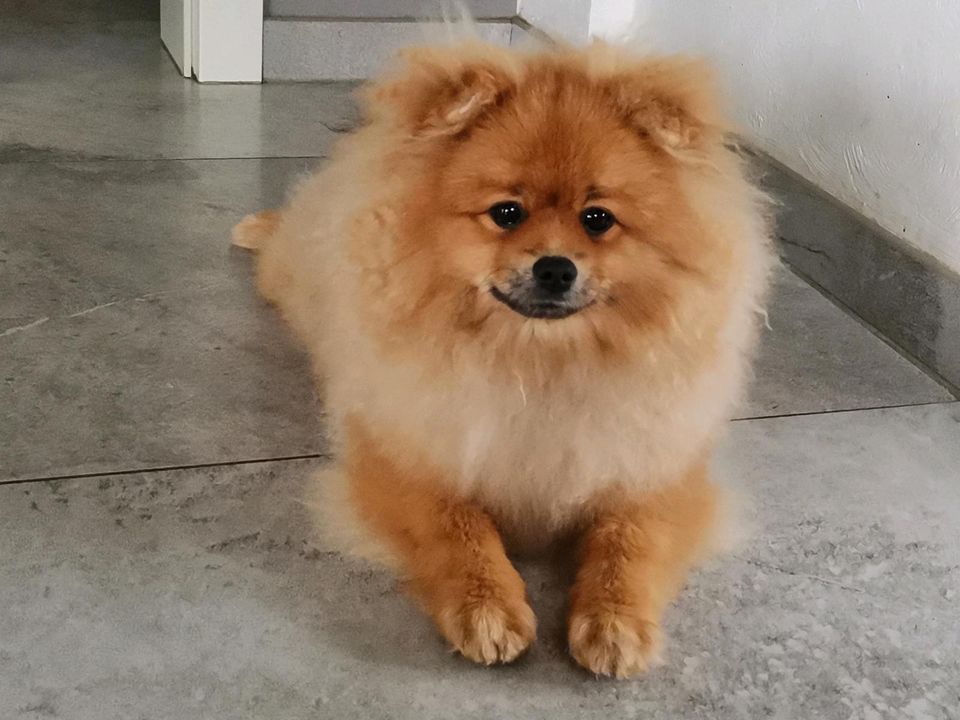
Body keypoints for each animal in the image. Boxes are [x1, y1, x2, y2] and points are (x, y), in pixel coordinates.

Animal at [234, 38, 772, 680]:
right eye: (507, 213)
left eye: (597, 219)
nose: (556, 267)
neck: (536, 364)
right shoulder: (407, 454)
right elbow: (457, 527)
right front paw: (487, 607)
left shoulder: (654, 466)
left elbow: (631, 540)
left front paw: (616, 622)